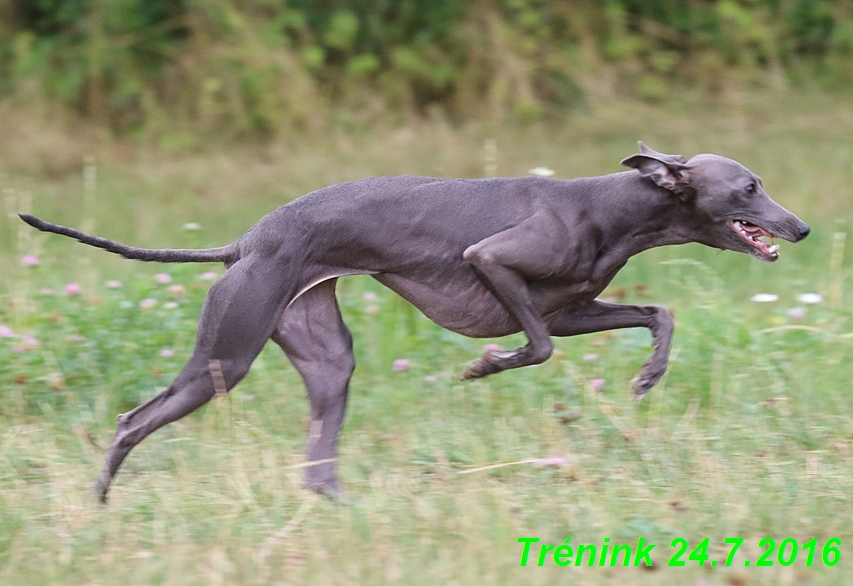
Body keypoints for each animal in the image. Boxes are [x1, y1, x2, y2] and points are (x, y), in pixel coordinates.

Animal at [18, 141, 804, 498]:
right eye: (748, 187)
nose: (800, 228)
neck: (613, 206)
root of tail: (245, 243)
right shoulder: (494, 264)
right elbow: (536, 348)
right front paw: (485, 366)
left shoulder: (574, 307)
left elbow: (656, 314)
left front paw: (647, 377)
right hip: (227, 355)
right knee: (133, 420)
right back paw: (99, 505)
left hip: (324, 357)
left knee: (316, 463)